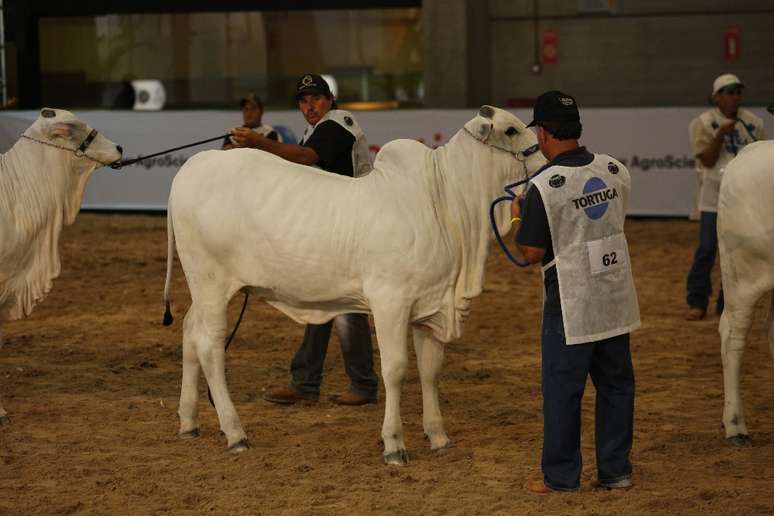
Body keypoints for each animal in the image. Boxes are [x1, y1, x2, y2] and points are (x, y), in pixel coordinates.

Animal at [164, 106, 544, 464]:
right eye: (511, 130)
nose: (544, 165)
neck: (444, 203)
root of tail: (193, 166)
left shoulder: (431, 306)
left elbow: (429, 371)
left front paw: (438, 437)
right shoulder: (390, 302)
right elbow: (395, 370)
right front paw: (394, 445)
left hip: (203, 288)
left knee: (189, 332)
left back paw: (188, 422)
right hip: (211, 284)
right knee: (210, 347)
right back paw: (235, 433)